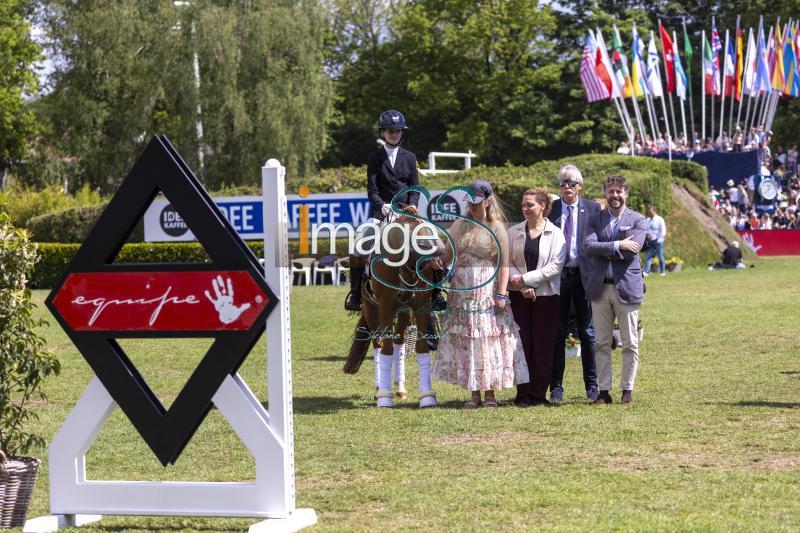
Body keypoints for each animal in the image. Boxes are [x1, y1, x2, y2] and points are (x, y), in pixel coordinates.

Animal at [342, 208, 444, 408]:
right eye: (421, 242)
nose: (438, 262)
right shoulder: (385, 307)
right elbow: (386, 350)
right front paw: (384, 398)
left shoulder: (421, 305)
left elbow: (421, 347)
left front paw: (427, 397)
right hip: (371, 309)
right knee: (378, 344)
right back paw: (379, 390)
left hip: (404, 313)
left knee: (399, 343)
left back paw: (400, 389)